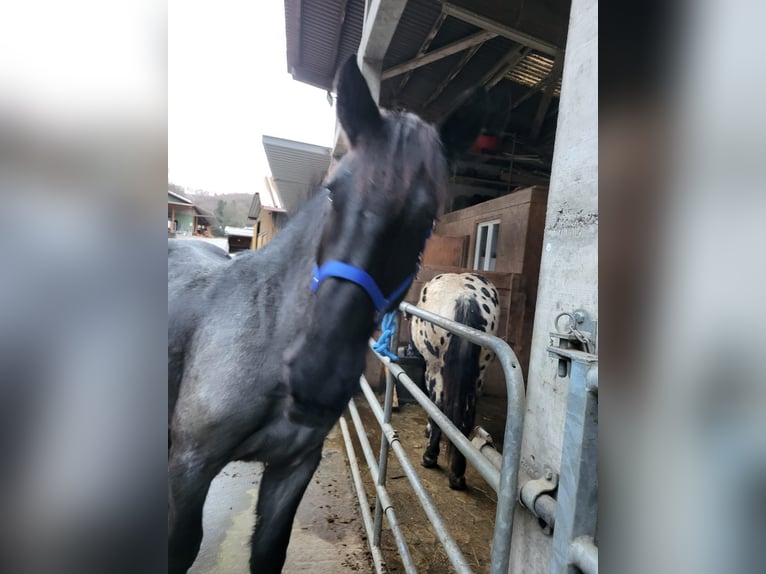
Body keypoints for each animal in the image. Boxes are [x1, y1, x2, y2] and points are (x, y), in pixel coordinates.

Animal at [412, 274, 500, 490]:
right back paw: (457, 475)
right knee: (466, 417)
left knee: (438, 407)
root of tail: (465, 297)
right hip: (478, 375)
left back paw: (429, 457)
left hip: (435, 370)